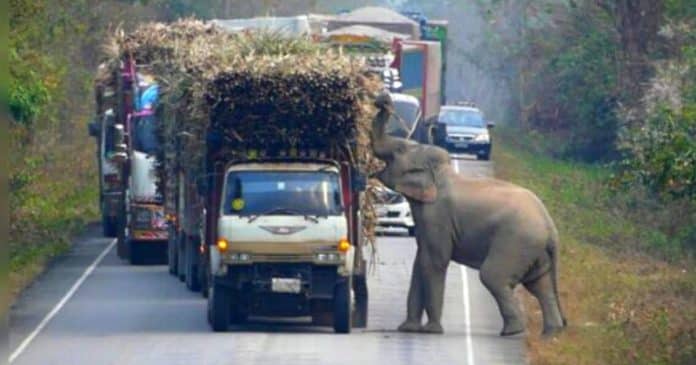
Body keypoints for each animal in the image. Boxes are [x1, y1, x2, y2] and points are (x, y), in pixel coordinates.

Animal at [370, 93, 564, 336]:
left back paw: (512, 331)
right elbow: (419, 261)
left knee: (493, 276)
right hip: (534, 249)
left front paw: (431, 331)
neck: (441, 173)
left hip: (516, 241)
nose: (383, 99)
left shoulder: (437, 215)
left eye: (398, 151)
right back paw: (551, 333)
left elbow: (433, 261)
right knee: (540, 285)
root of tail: (551, 227)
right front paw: (407, 329)